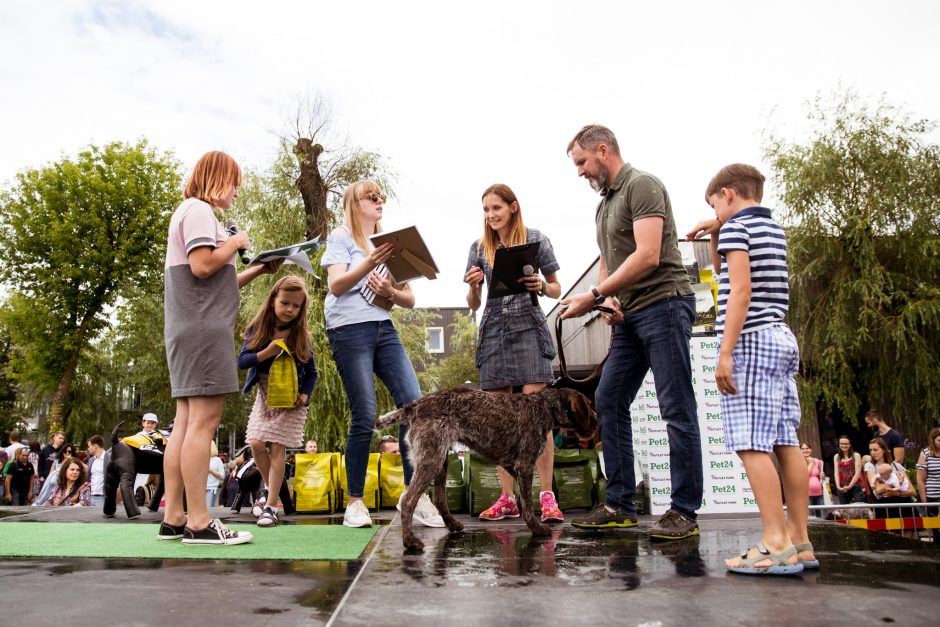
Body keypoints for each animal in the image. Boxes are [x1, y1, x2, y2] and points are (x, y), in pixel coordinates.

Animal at [374, 386, 596, 552]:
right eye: (588, 405)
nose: (596, 421)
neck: (543, 407)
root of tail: (415, 406)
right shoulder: (524, 465)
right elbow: (527, 503)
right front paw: (536, 528)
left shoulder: (513, 466)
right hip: (431, 460)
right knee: (409, 501)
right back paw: (410, 541)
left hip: (440, 459)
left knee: (440, 498)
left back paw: (452, 525)